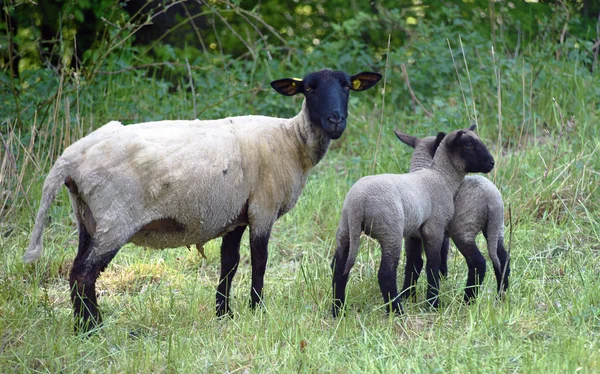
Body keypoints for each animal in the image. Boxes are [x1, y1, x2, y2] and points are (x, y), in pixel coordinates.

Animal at [23, 68, 382, 334]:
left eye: (347, 86)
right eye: (308, 88)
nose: (336, 120)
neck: (292, 141)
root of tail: (70, 158)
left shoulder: (236, 213)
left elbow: (230, 263)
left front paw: (225, 313)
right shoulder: (262, 208)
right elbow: (260, 260)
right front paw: (257, 309)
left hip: (87, 216)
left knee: (76, 271)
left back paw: (82, 327)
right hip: (115, 218)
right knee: (84, 274)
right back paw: (93, 329)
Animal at [330, 128, 494, 316]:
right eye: (468, 145)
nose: (492, 163)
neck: (441, 177)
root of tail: (358, 201)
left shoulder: (414, 234)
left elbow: (415, 264)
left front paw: (412, 296)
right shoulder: (434, 228)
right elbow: (433, 265)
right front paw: (433, 303)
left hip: (346, 229)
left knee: (338, 268)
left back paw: (338, 310)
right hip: (390, 231)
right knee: (386, 273)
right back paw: (397, 311)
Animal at [394, 127, 510, 302]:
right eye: (468, 146)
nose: (492, 162)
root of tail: (492, 199)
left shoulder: (415, 235)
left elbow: (414, 263)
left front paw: (407, 294)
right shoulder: (440, 234)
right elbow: (438, 256)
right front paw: (442, 278)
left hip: (463, 229)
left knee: (478, 262)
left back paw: (468, 299)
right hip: (496, 228)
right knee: (502, 258)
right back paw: (502, 295)